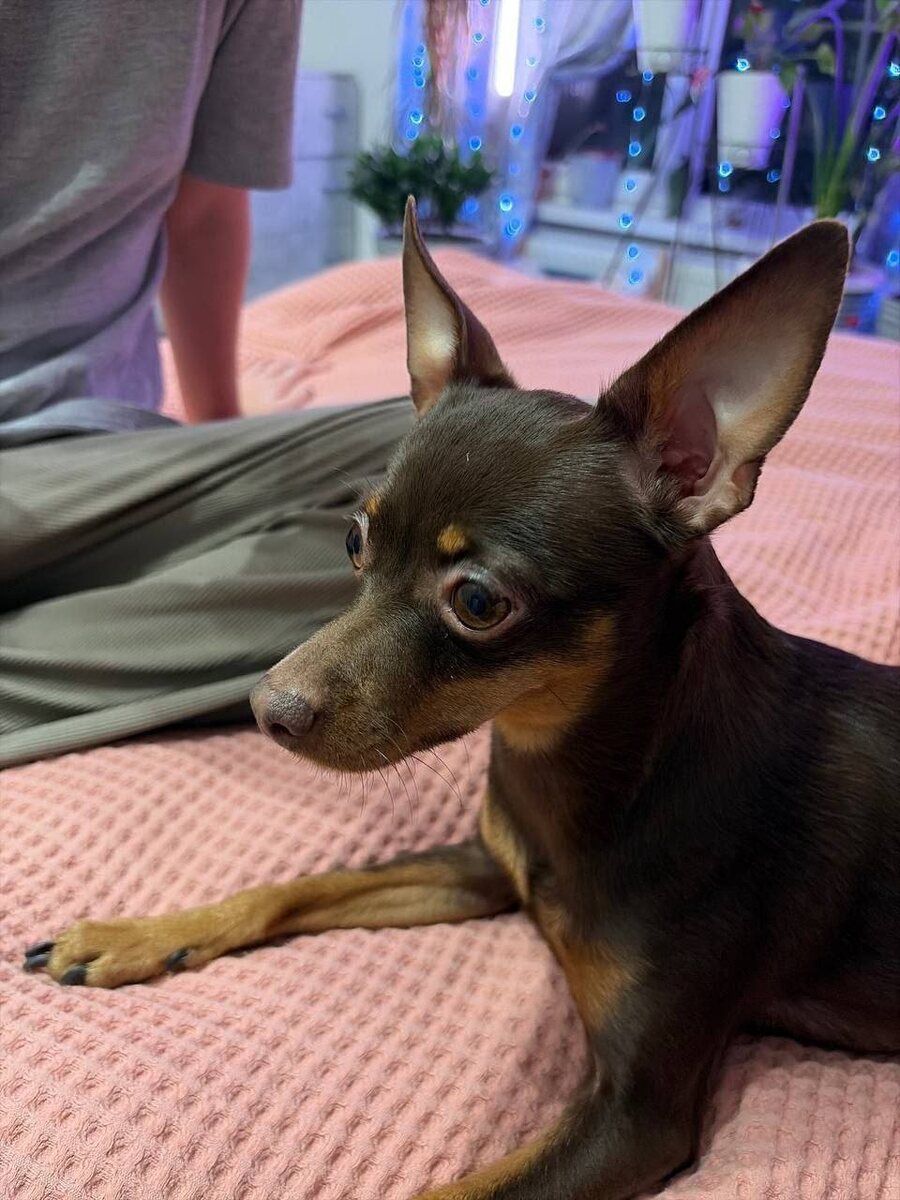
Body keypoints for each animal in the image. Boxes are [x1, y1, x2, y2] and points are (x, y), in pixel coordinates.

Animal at [26, 199, 900, 1200]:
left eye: (478, 602)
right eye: (354, 540)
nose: (266, 710)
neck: (587, 764)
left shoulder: (635, 1118)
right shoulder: (482, 867)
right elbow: (308, 882)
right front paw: (136, 933)